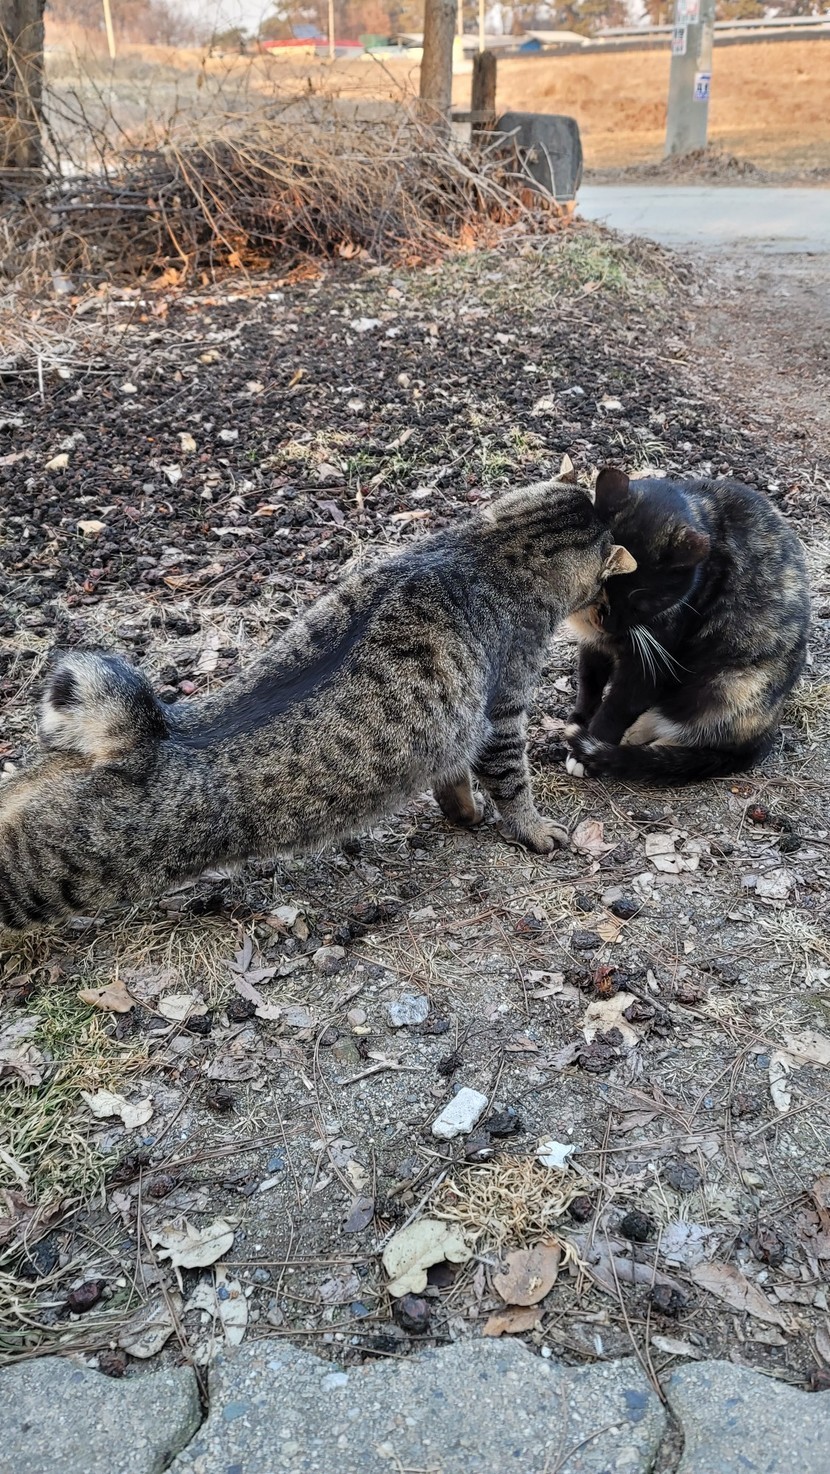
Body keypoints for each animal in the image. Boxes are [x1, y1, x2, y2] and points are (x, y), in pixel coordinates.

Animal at [0, 480, 635, 930]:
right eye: (605, 592)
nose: (607, 611)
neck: (484, 549)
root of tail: (145, 736)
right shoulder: (502, 709)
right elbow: (512, 782)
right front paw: (531, 828)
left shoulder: (457, 724)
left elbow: (453, 776)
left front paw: (464, 812)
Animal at [563, 466, 809, 784]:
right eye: (601, 580)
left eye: (640, 597)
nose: (605, 619)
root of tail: (768, 732)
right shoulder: (593, 644)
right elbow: (589, 682)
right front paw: (579, 719)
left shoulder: (652, 659)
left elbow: (620, 704)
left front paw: (586, 750)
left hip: (733, 685)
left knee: (694, 731)